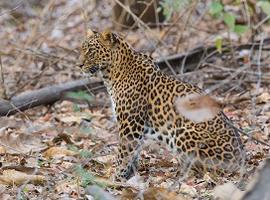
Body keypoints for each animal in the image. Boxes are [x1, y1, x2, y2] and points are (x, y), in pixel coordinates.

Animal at [79, 29, 246, 180]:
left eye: (91, 51)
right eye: (82, 49)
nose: (78, 65)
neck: (111, 73)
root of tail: (240, 160)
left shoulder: (130, 124)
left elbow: (124, 153)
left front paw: (117, 177)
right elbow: (134, 152)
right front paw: (130, 175)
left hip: (183, 132)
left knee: (206, 170)